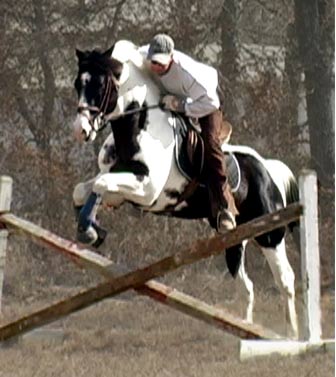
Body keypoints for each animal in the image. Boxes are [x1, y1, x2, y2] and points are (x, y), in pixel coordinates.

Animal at [71, 41, 300, 338]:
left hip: (269, 233)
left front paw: (89, 230)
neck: (138, 128)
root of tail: (267, 168)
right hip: (234, 237)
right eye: (77, 84)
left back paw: (293, 335)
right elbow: (84, 189)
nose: (80, 130)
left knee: (285, 279)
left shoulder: (148, 191)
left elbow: (100, 184)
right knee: (247, 287)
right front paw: (91, 228)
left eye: (100, 85)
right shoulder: (118, 178)